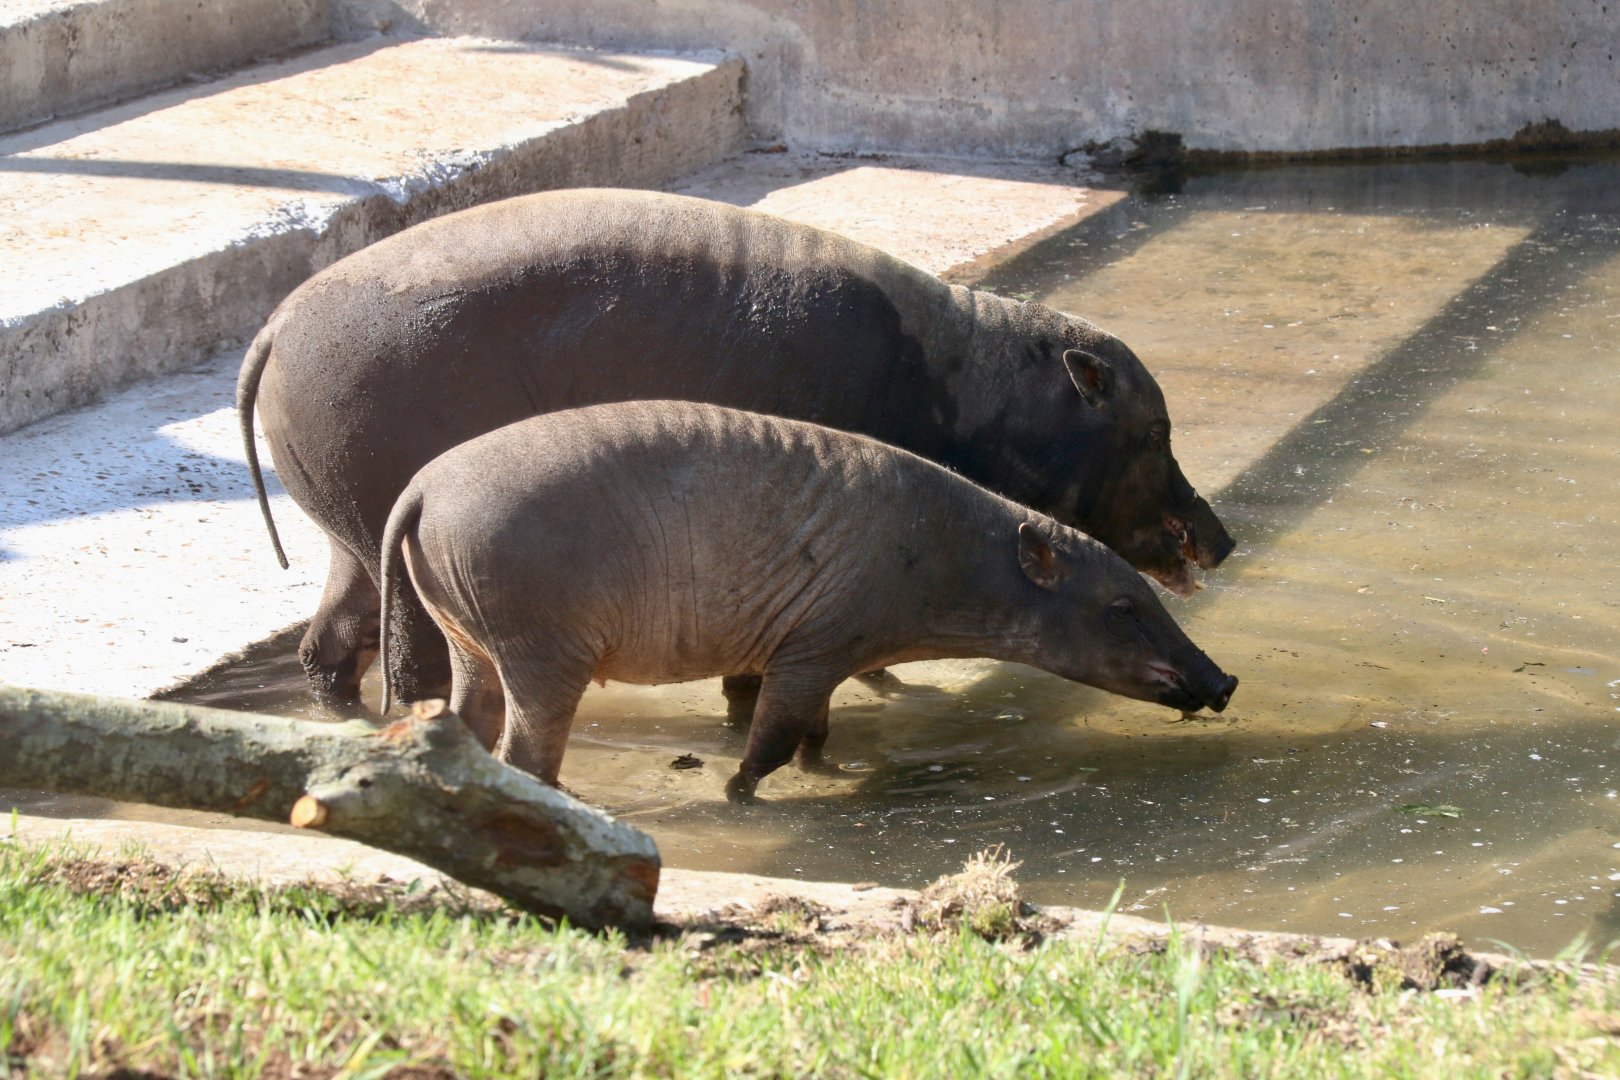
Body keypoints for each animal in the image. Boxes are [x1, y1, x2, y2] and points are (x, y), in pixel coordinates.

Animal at [240, 187, 1234, 704]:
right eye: (1153, 428)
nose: (1221, 536)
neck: (986, 383)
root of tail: (277, 324)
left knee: (328, 646)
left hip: (350, 535)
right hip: (380, 524)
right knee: (403, 661)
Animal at [377, 402, 1237, 801]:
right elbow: (771, 741)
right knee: (525, 750)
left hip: (468, 636)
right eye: (1122, 606)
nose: (1225, 680)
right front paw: (734, 796)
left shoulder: (830, 655)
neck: (947, 559)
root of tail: (416, 493)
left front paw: (832, 770)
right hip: (540, 649)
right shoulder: (812, 649)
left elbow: (816, 738)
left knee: (469, 721)